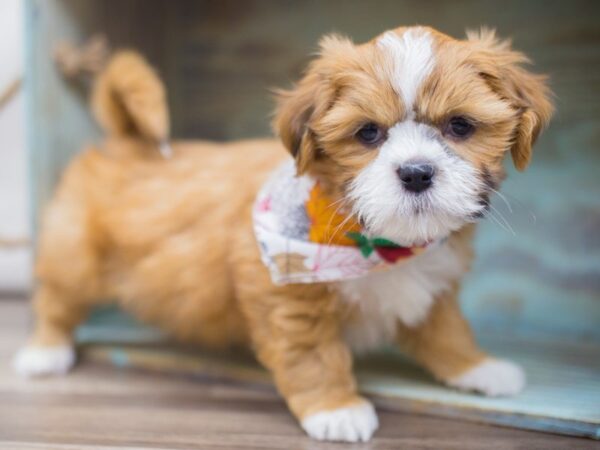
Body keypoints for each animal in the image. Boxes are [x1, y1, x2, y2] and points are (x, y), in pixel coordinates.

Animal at [16, 25, 552, 442]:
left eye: (460, 126)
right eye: (368, 133)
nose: (416, 172)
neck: (374, 240)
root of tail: (126, 141)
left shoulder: (432, 286)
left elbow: (446, 330)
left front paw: (476, 366)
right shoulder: (287, 295)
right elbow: (313, 356)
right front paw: (336, 408)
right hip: (74, 254)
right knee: (57, 298)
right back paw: (46, 350)